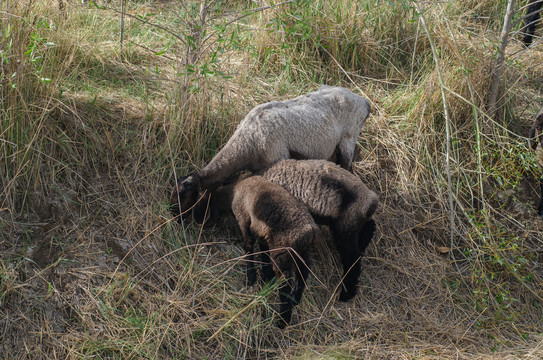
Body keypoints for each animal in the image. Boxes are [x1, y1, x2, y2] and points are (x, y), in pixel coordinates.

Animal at [172, 87, 372, 221]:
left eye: (187, 196)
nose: (174, 215)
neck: (246, 143)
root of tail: (363, 101)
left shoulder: (278, 159)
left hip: (349, 138)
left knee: (348, 166)